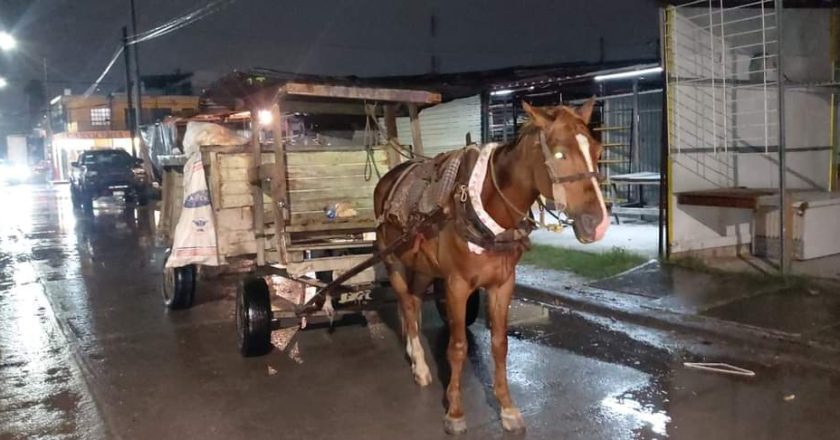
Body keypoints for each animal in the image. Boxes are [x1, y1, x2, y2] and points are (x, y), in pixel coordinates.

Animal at [374, 99, 612, 434]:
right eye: (559, 154)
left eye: (597, 149)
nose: (598, 224)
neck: (485, 207)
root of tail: (389, 177)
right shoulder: (457, 285)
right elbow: (458, 346)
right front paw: (455, 412)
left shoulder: (503, 284)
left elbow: (500, 345)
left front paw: (507, 408)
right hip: (392, 260)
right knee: (406, 302)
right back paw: (419, 365)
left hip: (423, 266)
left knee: (414, 301)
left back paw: (413, 348)